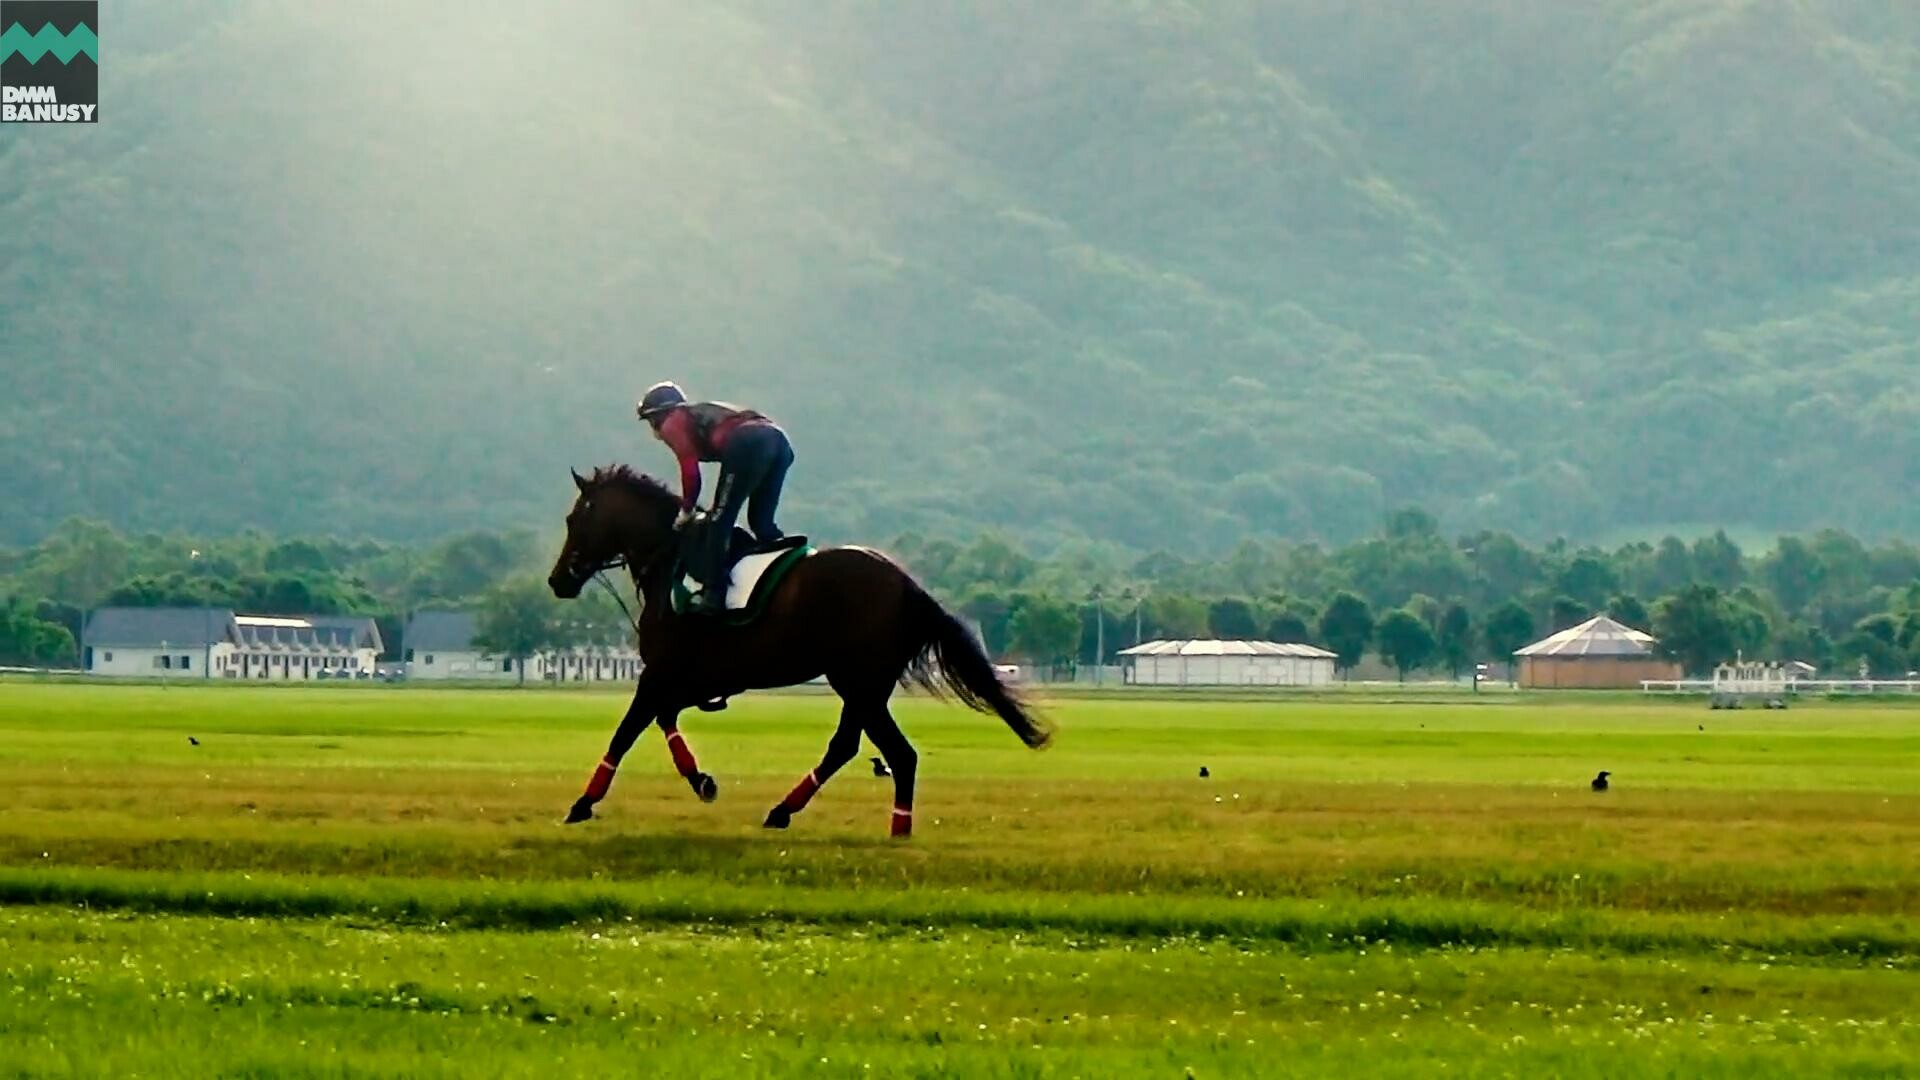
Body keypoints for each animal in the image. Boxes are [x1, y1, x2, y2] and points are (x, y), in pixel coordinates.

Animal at [545, 463, 1052, 834]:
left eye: (574, 519)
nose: (557, 580)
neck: (671, 560)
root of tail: (909, 586)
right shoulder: (694, 680)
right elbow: (663, 718)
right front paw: (701, 780)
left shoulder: (664, 673)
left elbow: (627, 730)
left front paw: (583, 802)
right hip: (863, 686)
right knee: (856, 747)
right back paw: (793, 811)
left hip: (858, 681)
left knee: (891, 751)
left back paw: (890, 827)